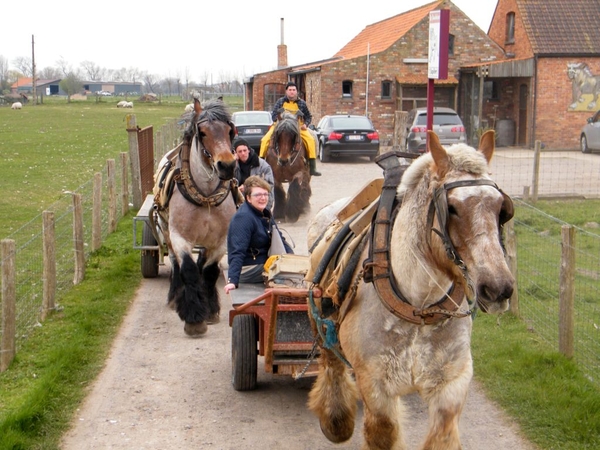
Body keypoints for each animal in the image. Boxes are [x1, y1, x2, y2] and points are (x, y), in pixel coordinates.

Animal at [155, 98, 239, 338]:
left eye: (229, 130)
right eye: (202, 132)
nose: (227, 165)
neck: (206, 196)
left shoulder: (221, 240)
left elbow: (209, 271)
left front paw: (210, 310)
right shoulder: (180, 237)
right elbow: (189, 270)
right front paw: (193, 318)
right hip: (165, 228)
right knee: (176, 263)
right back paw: (175, 296)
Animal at [304, 131, 516, 450]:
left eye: (500, 208)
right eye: (452, 208)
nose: (498, 288)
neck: (419, 306)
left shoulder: (452, 382)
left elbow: (443, 434)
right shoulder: (376, 386)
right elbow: (383, 431)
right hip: (320, 322)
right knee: (331, 361)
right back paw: (336, 420)